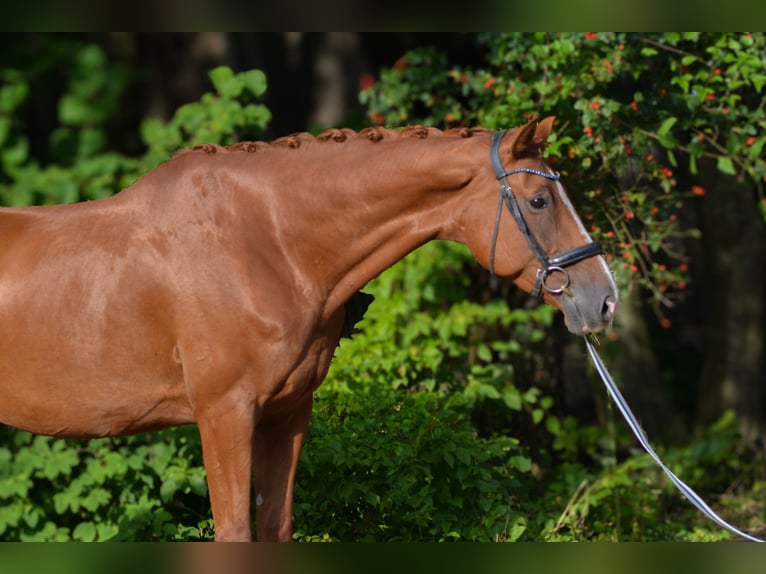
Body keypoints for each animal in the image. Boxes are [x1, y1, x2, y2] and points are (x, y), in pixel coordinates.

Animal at [0, 118, 616, 544]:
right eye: (538, 200)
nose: (605, 299)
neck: (264, 244)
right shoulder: (224, 414)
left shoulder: (287, 413)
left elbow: (276, 526)